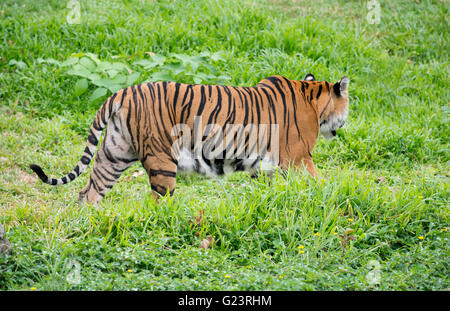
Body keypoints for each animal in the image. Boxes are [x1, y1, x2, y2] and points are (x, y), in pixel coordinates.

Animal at [29, 73, 350, 205]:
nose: (343, 125)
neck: (313, 99)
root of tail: (124, 92)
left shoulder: (267, 164)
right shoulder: (298, 158)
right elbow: (317, 182)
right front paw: (329, 196)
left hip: (114, 153)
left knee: (89, 191)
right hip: (161, 161)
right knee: (158, 201)